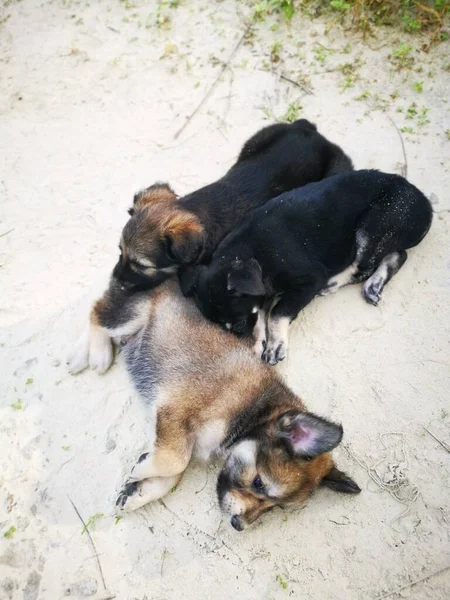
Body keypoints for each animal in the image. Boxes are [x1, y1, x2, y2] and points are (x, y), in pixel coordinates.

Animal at [179, 170, 432, 366]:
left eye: (239, 323)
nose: (241, 340)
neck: (253, 253)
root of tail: (426, 204)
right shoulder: (263, 293)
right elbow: (262, 314)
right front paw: (262, 341)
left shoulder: (308, 282)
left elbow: (277, 312)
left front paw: (275, 345)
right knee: (398, 254)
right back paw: (375, 284)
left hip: (374, 225)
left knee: (364, 267)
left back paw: (336, 283)